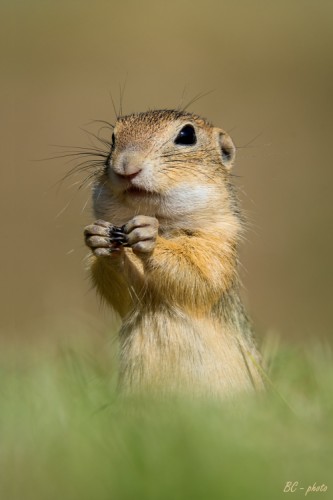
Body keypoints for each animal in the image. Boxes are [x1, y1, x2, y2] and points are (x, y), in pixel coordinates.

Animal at [84, 110, 264, 398]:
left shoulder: (218, 245)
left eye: (187, 135)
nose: (126, 166)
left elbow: (200, 278)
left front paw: (150, 236)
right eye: (112, 137)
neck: (162, 221)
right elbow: (122, 292)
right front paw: (99, 237)